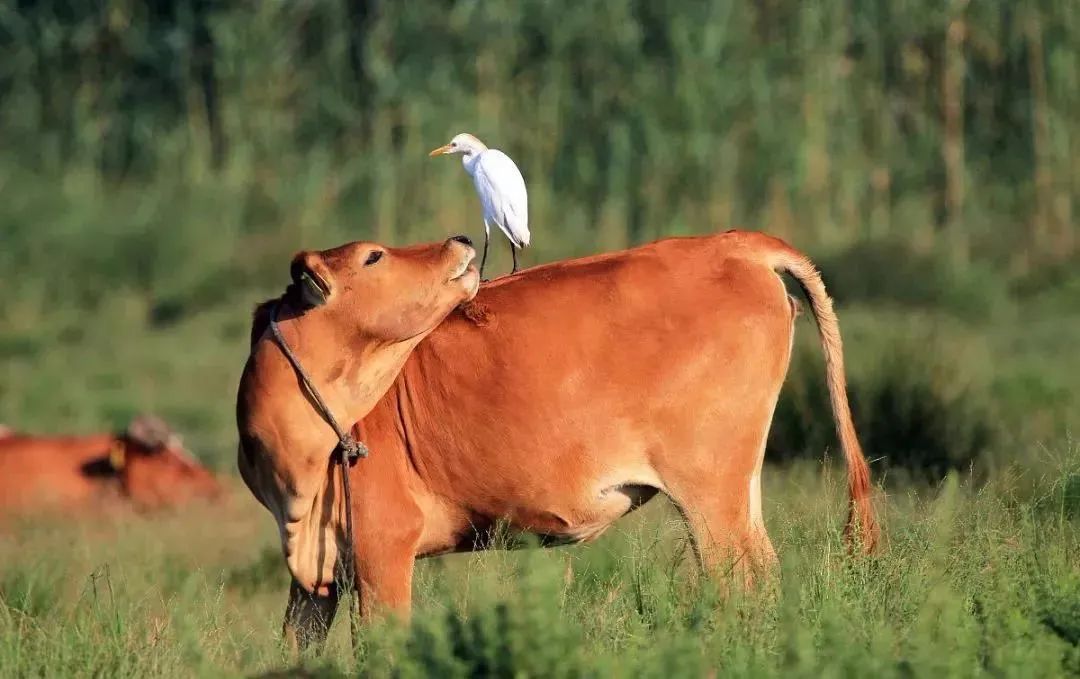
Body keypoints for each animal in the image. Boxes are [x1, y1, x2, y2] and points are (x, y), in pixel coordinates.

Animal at [238, 227, 876, 647]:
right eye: (372, 256)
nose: (459, 238)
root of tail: (733, 242)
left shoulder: (384, 546)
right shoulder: (314, 577)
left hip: (710, 492)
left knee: (742, 581)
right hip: (739, 487)